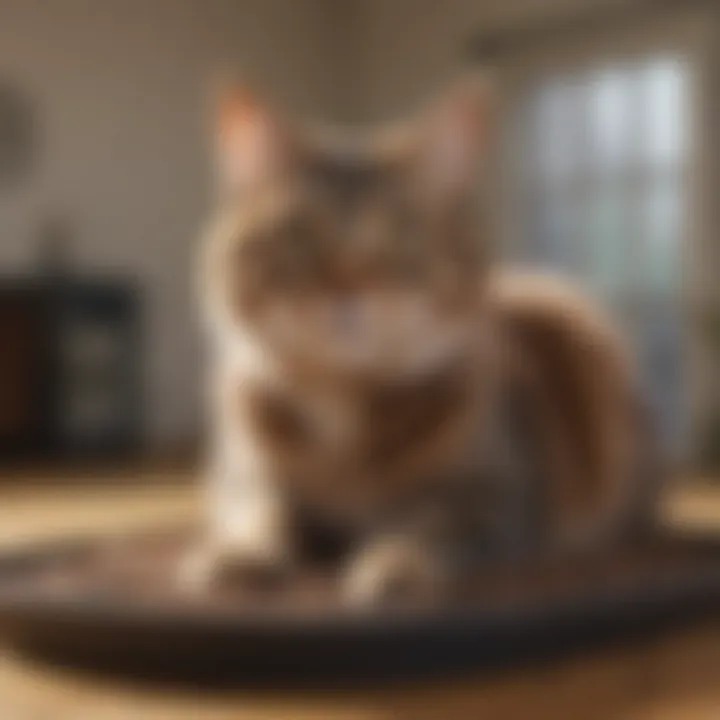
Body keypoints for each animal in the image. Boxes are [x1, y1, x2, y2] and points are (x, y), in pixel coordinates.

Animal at [181, 76, 660, 604]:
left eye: (398, 239)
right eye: (299, 236)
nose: (345, 292)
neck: (344, 409)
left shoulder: (493, 495)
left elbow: (426, 529)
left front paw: (396, 567)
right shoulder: (244, 476)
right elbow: (255, 516)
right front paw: (236, 557)